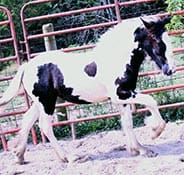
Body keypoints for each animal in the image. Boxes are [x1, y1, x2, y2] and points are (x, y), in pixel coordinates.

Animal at [0, 15, 175, 164]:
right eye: (155, 38)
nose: (170, 70)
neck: (116, 59)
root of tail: (26, 67)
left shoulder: (124, 97)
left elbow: (127, 123)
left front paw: (140, 149)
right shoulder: (120, 94)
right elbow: (151, 101)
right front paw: (154, 131)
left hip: (41, 102)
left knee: (27, 120)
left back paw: (19, 156)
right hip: (46, 102)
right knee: (45, 126)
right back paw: (70, 157)